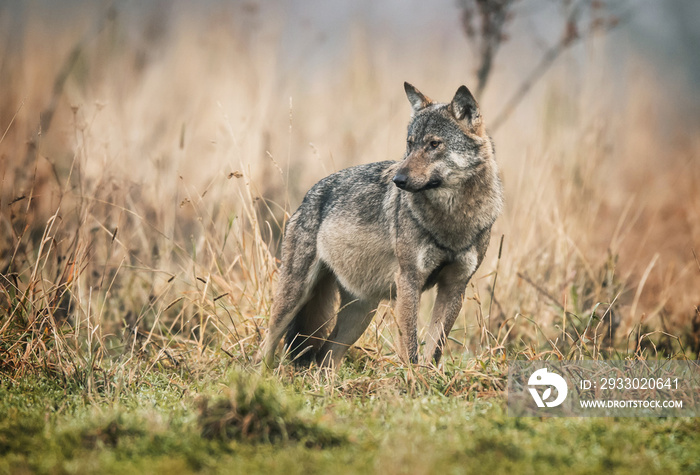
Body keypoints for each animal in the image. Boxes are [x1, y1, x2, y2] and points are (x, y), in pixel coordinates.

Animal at [264, 82, 504, 368]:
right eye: (410, 144)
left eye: (434, 144)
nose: (398, 180)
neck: (453, 219)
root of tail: (307, 196)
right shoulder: (409, 281)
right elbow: (410, 347)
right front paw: (412, 379)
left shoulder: (455, 286)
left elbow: (434, 349)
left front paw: (428, 376)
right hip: (295, 296)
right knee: (267, 343)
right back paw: (258, 373)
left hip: (359, 315)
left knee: (325, 358)